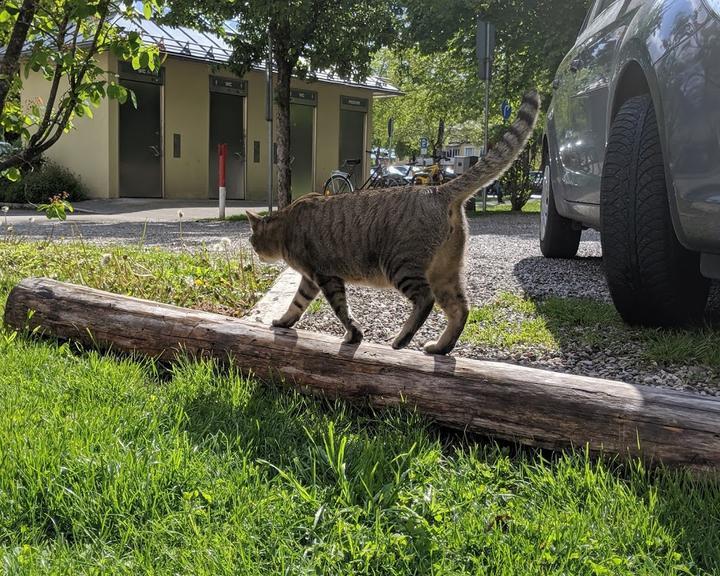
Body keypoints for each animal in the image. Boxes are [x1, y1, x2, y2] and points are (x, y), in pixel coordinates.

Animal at [248, 91, 540, 354]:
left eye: (252, 241)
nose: (254, 252)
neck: (287, 224)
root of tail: (437, 189)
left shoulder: (325, 275)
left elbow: (342, 310)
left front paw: (353, 334)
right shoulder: (310, 280)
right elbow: (297, 304)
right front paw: (283, 322)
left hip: (401, 265)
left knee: (426, 300)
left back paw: (402, 339)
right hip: (444, 271)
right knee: (461, 308)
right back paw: (440, 348)